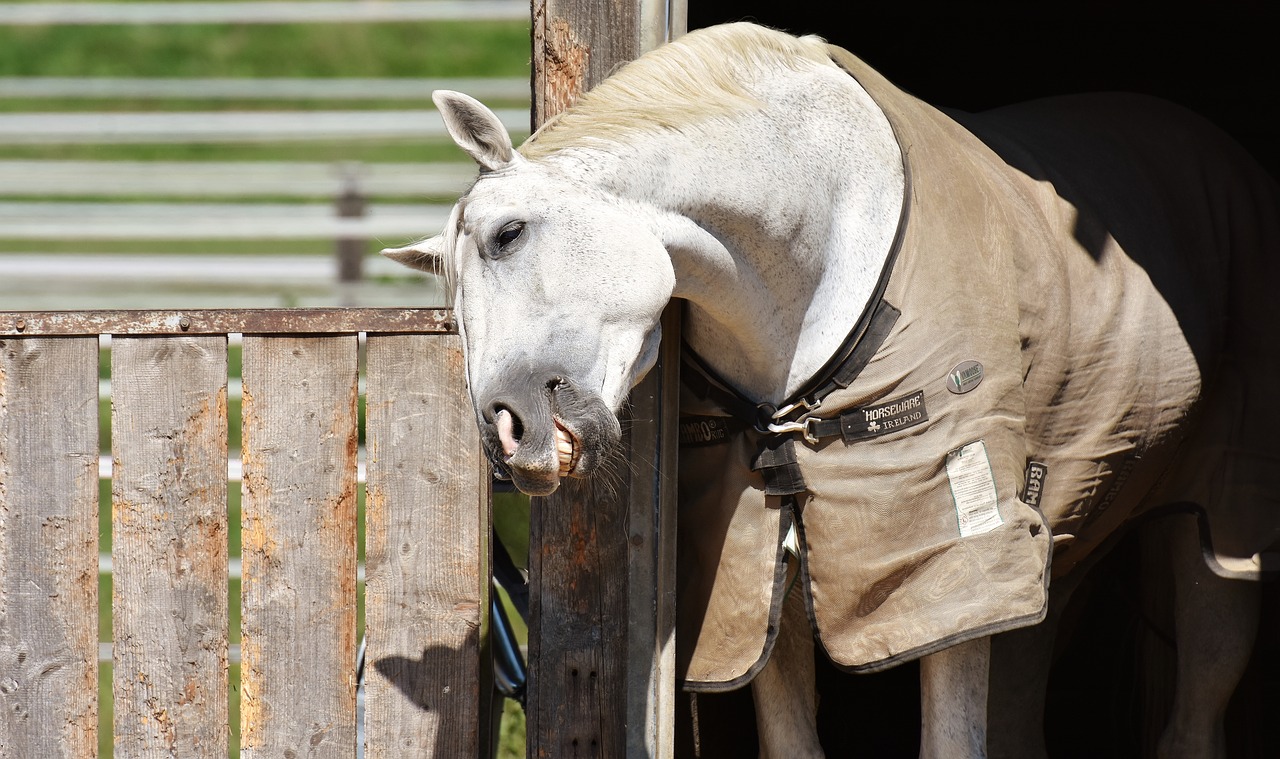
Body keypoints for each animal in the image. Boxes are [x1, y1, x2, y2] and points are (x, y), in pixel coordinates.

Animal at [386, 20, 1280, 752]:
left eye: (508, 234)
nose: (509, 437)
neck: (820, 245)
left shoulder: (948, 568)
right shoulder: (766, 568)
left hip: (1212, 546)